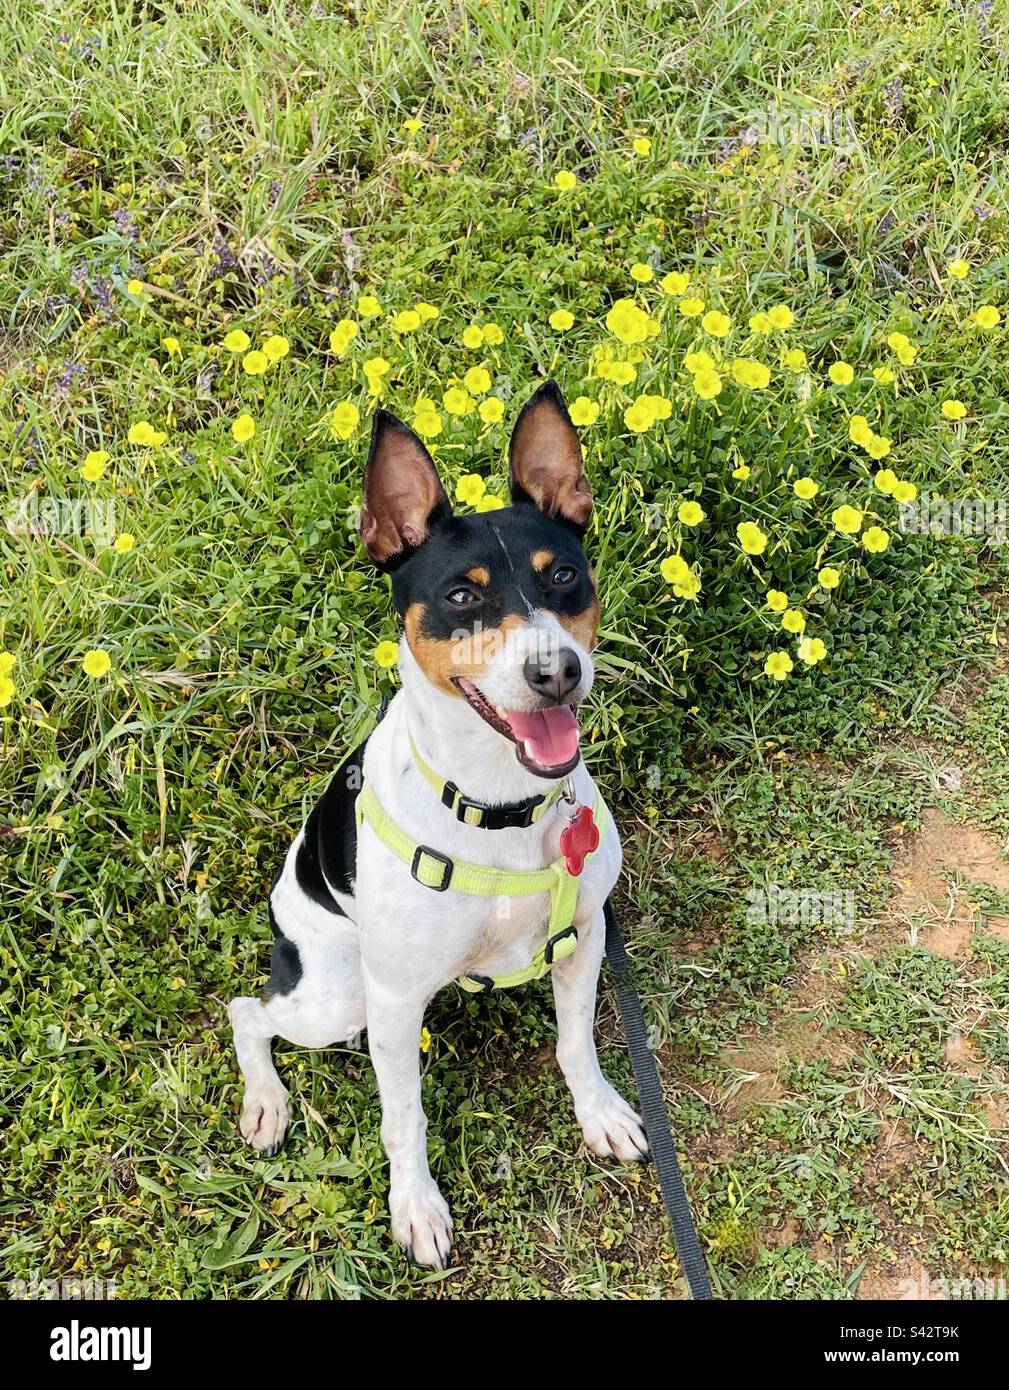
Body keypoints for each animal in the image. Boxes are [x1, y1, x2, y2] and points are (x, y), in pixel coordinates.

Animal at [229, 380, 647, 1273]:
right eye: (461, 596)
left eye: (564, 576)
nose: (556, 672)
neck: (499, 804)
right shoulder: (391, 1003)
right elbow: (403, 1118)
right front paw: (414, 1206)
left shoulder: (584, 937)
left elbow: (577, 1045)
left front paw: (596, 1111)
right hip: (336, 1000)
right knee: (248, 1011)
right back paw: (266, 1103)